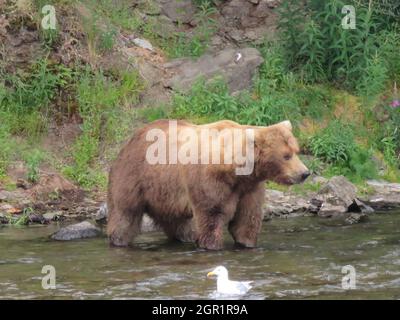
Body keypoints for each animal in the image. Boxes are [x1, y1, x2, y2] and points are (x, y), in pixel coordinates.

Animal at [107, 119, 310, 250]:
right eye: (286, 155)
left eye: (296, 150)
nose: (305, 173)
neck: (236, 171)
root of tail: (132, 138)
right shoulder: (209, 180)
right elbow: (212, 215)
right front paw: (211, 245)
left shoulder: (249, 187)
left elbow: (247, 217)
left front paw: (247, 243)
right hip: (135, 176)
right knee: (125, 213)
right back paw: (118, 239)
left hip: (166, 192)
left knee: (176, 220)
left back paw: (185, 237)